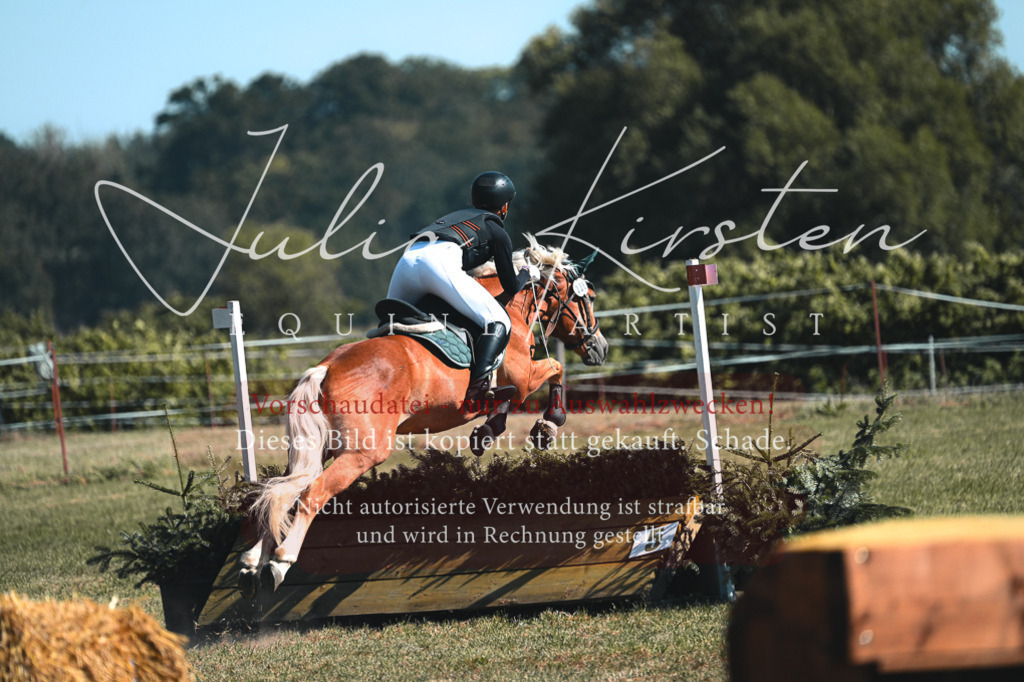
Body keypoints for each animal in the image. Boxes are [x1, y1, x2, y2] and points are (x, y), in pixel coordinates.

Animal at [239, 236, 609, 595]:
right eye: (589, 297)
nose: (600, 349)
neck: (513, 307)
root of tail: (326, 367)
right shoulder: (523, 376)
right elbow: (555, 368)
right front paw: (549, 424)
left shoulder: (513, 383)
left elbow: (506, 401)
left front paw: (487, 433)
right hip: (365, 451)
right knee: (311, 492)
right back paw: (280, 561)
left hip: (322, 447)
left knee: (283, 488)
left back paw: (252, 563)